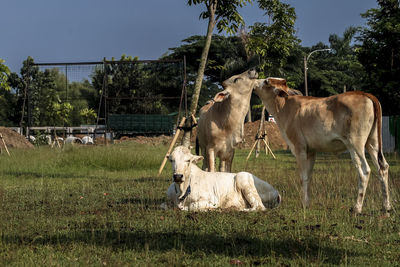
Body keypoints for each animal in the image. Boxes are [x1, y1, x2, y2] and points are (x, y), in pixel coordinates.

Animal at [253, 78, 390, 216]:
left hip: (355, 143)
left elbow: (303, 177)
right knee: (382, 168)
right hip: (372, 143)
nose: (255, 82)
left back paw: (357, 208)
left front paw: (303, 204)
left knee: (364, 171)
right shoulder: (311, 151)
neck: (284, 108)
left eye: (266, 81)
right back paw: (386, 207)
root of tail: (364, 94)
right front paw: (307, 204)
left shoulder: (299, 148)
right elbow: (308, 177)